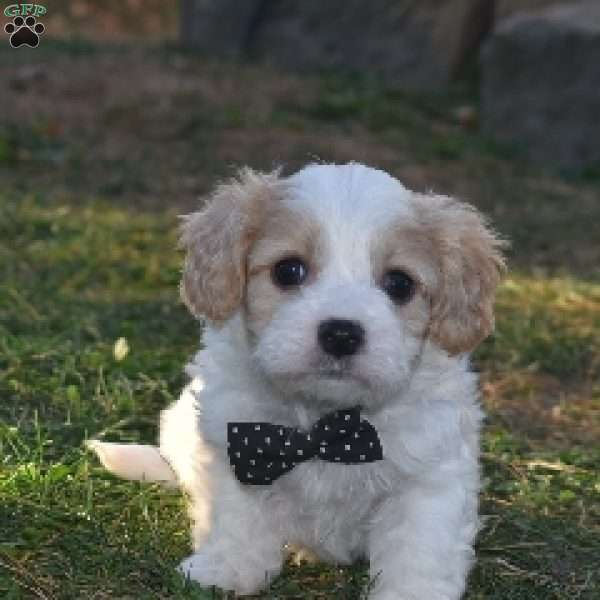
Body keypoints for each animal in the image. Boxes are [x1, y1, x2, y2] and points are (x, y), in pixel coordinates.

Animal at [91, 163, 504, 600]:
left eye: (400, 283)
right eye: (288, 270)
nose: (341, 334)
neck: (327, 424)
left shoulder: (429, 476)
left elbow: (418, 549)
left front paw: (411, 593)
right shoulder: (238, 447)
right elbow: (237, 519)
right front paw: (227, 569)